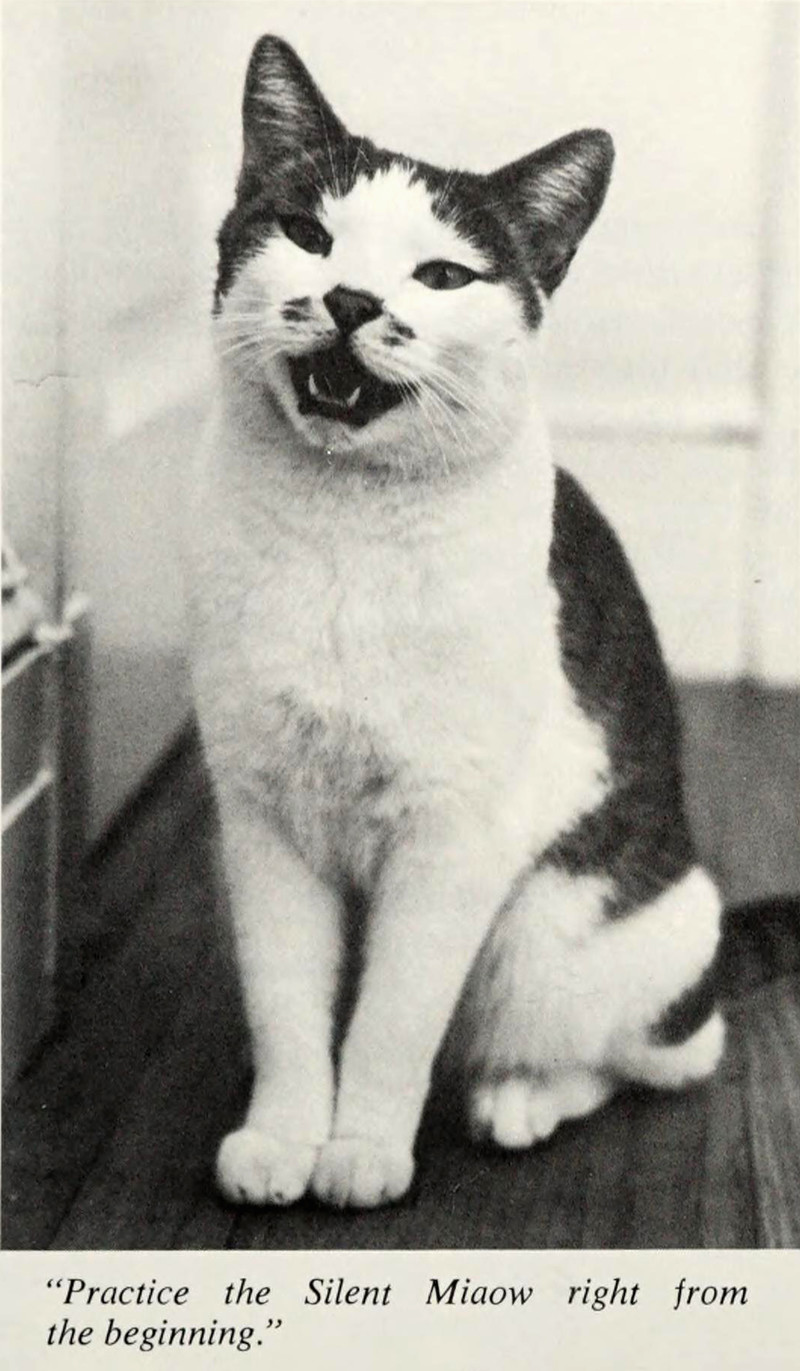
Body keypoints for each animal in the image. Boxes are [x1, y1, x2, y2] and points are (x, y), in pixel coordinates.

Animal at [187, 35, 725, 1210]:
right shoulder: (263, 820)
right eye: (307, 233)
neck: (340, 532)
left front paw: (359, 1150)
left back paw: (516, 1098)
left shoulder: (450, 838)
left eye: (440, 277)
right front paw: (285, 1135)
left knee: (654, 1053)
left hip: (547, 931)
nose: (348, 299)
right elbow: (289, 1005)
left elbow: (393, 1022)